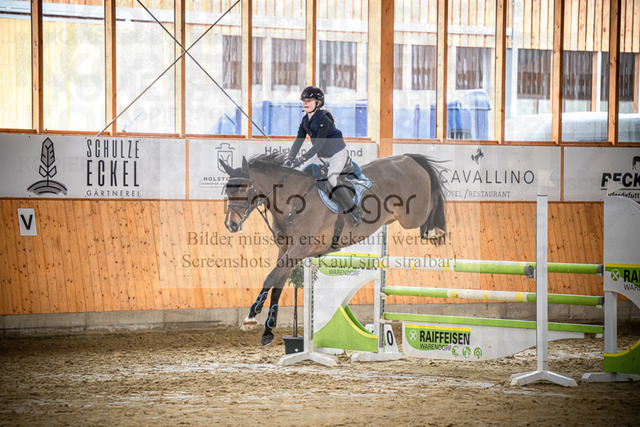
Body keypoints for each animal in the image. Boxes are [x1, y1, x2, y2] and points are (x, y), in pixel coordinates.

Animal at [219, 152, 447, 346]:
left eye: (244, 188)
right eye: (228, 189)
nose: (231, 225)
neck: (292, 201)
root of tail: (407, 158)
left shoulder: (298, 250)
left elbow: (270, 278)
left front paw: (250, 317)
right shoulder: (285, 251)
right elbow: (278, 283)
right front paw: (267, 331)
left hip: (412, 216)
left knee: (433, 202)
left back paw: (435, 230)